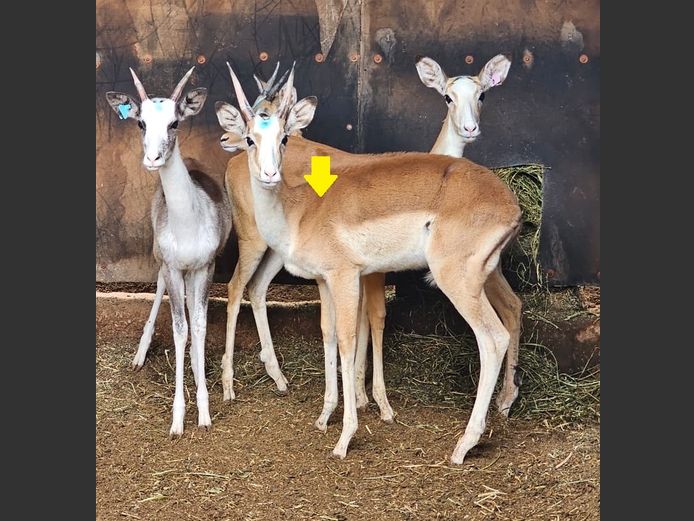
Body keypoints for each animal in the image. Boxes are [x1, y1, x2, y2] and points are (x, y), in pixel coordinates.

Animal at [106, 67, 232, 436]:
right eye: (140, 122)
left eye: (175, 122)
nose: (153, 158)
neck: (188, 222)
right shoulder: (175, 266)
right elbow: (179, 330)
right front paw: (178, 419)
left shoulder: (206, 266)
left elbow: (199, 326)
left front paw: (204, 412)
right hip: (162, 260)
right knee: (160, 287)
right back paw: (139, 355)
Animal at [216, 64, 521, 463]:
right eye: (252, 138)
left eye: (284, 138)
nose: (269, 175)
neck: (303, 209)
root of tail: (510, 203)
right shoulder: (327, 280)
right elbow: (329, 335)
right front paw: (326, 416)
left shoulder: (347, 276)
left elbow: (350, 338)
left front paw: (347, 434)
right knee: (246, 288)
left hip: (459, 281)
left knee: (494, 338)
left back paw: (464, 444)